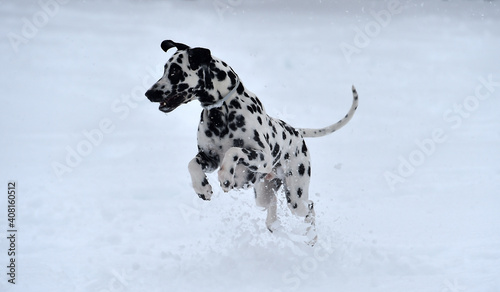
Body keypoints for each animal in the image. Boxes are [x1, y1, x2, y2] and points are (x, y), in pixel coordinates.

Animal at [144, 39, 356, 244]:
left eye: (175, 71)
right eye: (165, 68)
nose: (149, 93)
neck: (221, 113)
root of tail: (296, 132)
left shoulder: (263, 157)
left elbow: (234, 151)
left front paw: (226, 176)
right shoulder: (208, 158)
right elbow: (192, 164)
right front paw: (202, 188)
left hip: (296, 195)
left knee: (309, 208)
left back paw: (312, 239)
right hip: (263, 194)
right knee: (272, 209)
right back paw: (276, 228)